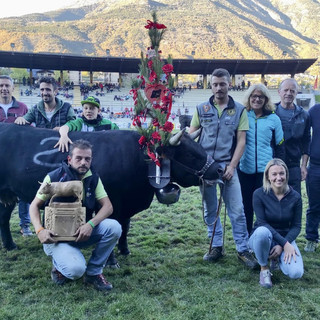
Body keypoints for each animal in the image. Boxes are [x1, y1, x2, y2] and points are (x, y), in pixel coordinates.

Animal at [0, 122, 220, 252]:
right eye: (189, 154)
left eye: (199, 147)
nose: (218, 169)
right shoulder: (113, 202)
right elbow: (116, 226)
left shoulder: (127, 204)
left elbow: (125, 227)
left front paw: (124, 251)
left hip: (8, 194)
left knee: (3, 217)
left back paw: (10, 245)